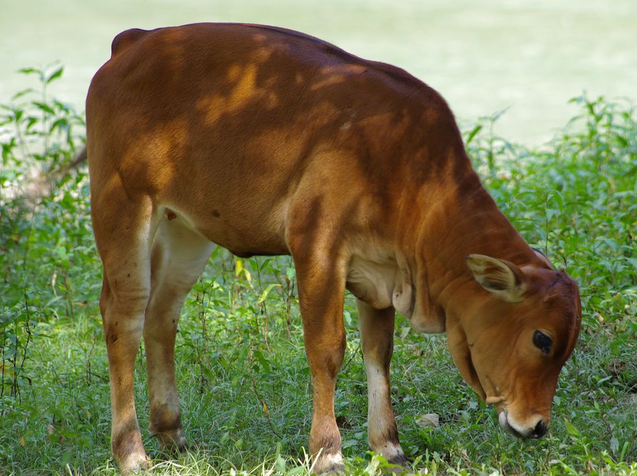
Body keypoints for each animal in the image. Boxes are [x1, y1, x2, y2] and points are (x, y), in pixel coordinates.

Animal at [85, 25, 580, 472]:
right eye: (541, 338)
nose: (538, 426)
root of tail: (135, 41)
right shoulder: (316, 245)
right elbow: (327, 350)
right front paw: (328, 450)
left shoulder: (381, 271)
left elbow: (378, 354)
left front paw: (389, 447)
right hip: (123, 204)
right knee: (124, 316)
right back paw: (131, 452)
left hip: (185, 227)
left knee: (162, 313)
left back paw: (171, 433)